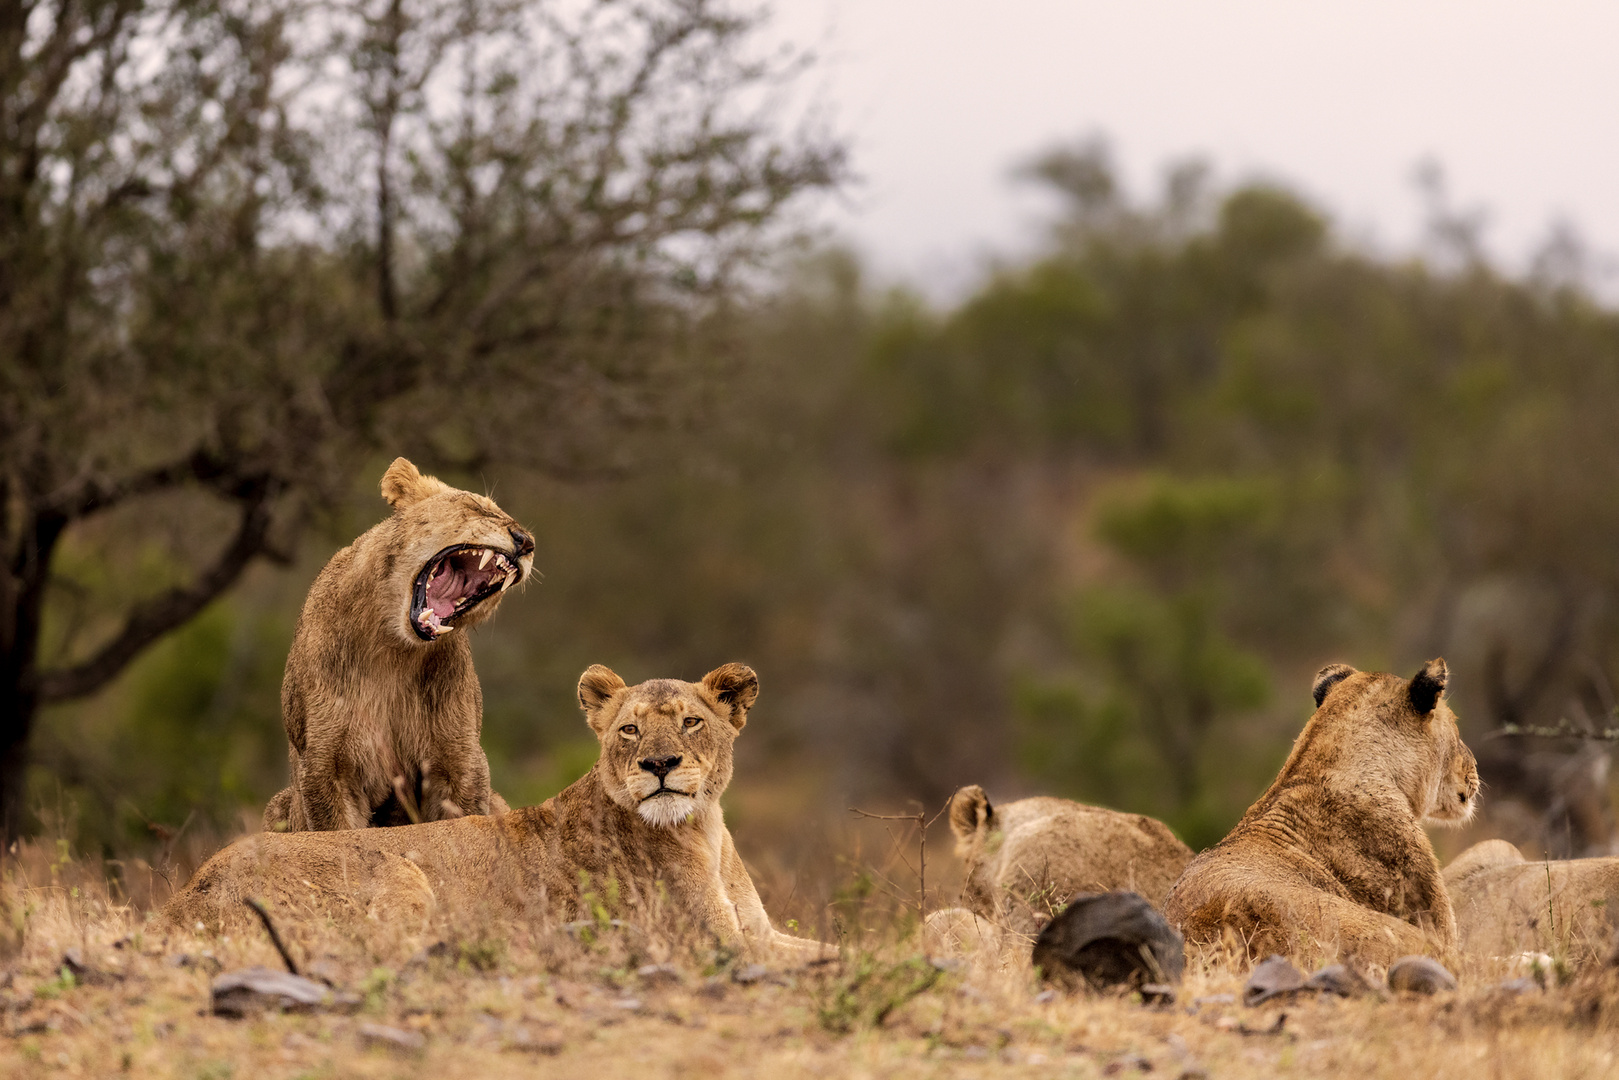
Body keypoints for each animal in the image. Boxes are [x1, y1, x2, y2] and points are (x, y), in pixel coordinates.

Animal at [167, 663, 822, 958]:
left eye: (691, 722)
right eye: (630, 730)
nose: (658, 764)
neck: (704, 830)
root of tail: (183, 899)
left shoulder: (757, 931)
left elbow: (831, 948)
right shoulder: (717, 941)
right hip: (400, 872)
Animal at [262, 459, 534, 835]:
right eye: (479, 509)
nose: (527, 542)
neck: (393, 650)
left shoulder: (460, 759)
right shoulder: (325, 763)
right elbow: (339, 832)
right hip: (277, 806)